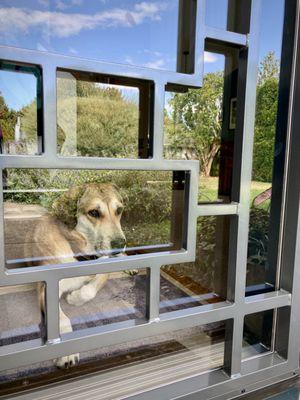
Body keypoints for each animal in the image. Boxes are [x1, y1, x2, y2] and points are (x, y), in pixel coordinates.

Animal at [24, 184, 125, 368]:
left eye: (119, 210)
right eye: (94, 212)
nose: (120, 244)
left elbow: (93, 286)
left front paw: (76, 297)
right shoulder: (46, 288)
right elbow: (61, 319)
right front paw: (66, 352)